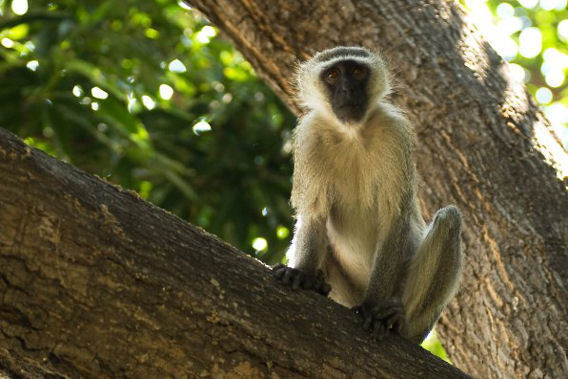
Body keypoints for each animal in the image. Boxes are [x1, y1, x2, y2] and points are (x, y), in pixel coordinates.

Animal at [272, 46, 464, 342]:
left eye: (357, 71)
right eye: (333, 74)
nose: (348, 89)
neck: (351, 134)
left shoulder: (394, 132)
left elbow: (395, 217)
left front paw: (373, 309)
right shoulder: (310, 136)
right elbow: (313, 216)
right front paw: (301, 275)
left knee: (449, 220)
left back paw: (400, 320)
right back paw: (318, 285)